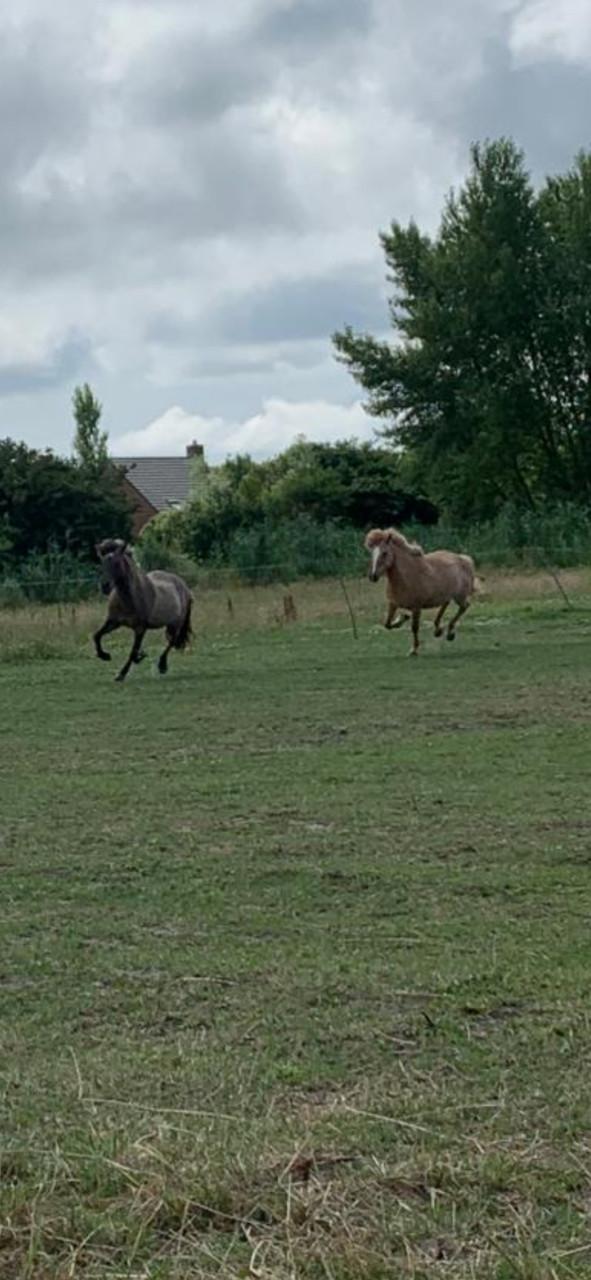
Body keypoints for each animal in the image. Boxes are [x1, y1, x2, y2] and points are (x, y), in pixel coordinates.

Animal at [94, 539, 193, 682]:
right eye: (102, 563)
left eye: (117, 563)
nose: (104, 587)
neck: (129, 599)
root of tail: (184, 586)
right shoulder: (113, 622)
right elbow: (96, 636)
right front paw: (105, 656)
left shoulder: (140, 628)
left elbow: (133, 651)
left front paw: (121, 674)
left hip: (176, 624)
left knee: (172, 641)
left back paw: (162, 665)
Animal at [365, 527, 478, 656]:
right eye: (372, 553)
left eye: (384, 553)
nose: (373, 576)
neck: (406, 578)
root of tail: (463, 559)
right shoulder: (393, 604)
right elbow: (387, 624)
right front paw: (403, 617)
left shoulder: (416, 607)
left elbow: (414, 627)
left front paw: (413, 650)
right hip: (446, 595)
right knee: (446, 604)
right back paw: (438, 630)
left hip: (460, 597)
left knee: (464, 606)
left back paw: (450, 633)